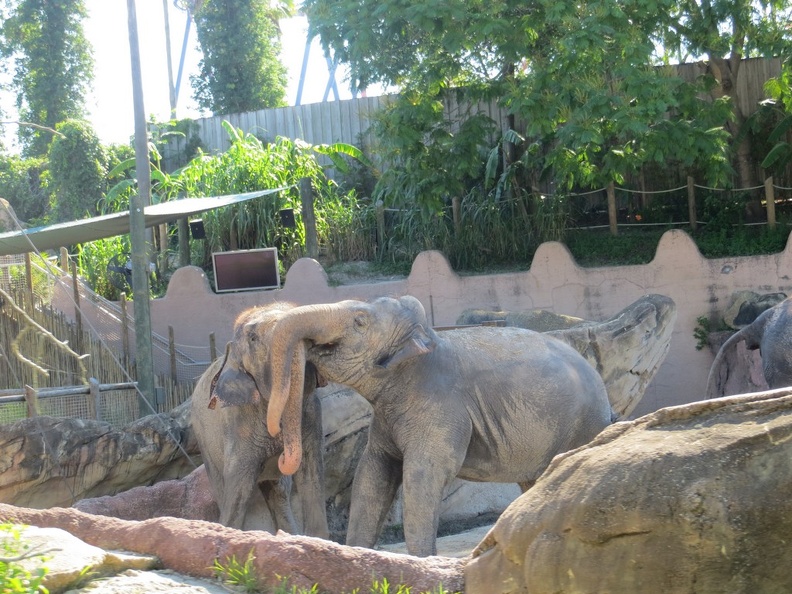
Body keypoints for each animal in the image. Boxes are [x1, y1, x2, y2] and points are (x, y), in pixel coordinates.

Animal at [190, 300, 330, 536]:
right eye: (253, 338)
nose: (279, 455)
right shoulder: (239, 422)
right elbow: (239, 487)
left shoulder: (312, 411)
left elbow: (311, 475)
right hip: (204, 442)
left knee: (279, 491)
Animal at [226, 294, 616, 556]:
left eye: (360, 321)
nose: (280, 457)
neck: (425, 339)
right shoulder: (387, 415)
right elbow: (372, 473)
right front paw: (357, 555)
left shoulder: (440, 405)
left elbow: (422, 473)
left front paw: (420, 563)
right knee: (535, 482)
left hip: (582, 426)